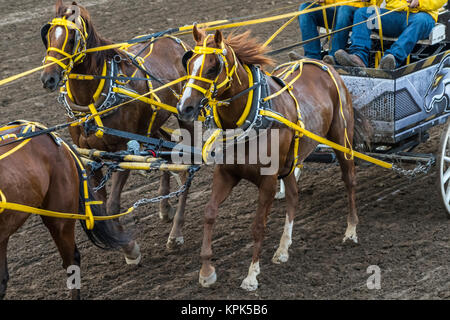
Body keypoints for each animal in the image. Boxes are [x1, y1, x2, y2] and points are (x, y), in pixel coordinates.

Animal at [40, 0, 192, 258]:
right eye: (49, 35)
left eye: (71, 39)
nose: (48, 79)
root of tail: (176, 42)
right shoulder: (93, 157)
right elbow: (102, 207)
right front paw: (124, 243)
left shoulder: (123, 151)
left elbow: (112, 204)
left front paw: (129, 249)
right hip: (149, 127)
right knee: (166, 155)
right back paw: (164, 207)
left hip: (184, 116)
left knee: (188, 165)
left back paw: (176, 232)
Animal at [178, 27, 360, 292]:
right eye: (189, 63)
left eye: (213, 67)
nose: (184, 108)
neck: (252, 117)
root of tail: (321, 62)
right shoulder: (226, 174)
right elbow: (209, 213)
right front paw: (206, 271)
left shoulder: (268, 182)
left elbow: (258, 226)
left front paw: (251, 275)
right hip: (290, 164)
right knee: (293, 196)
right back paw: (283, 249)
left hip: (342, 139)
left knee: (349, 180)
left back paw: (351, 230)